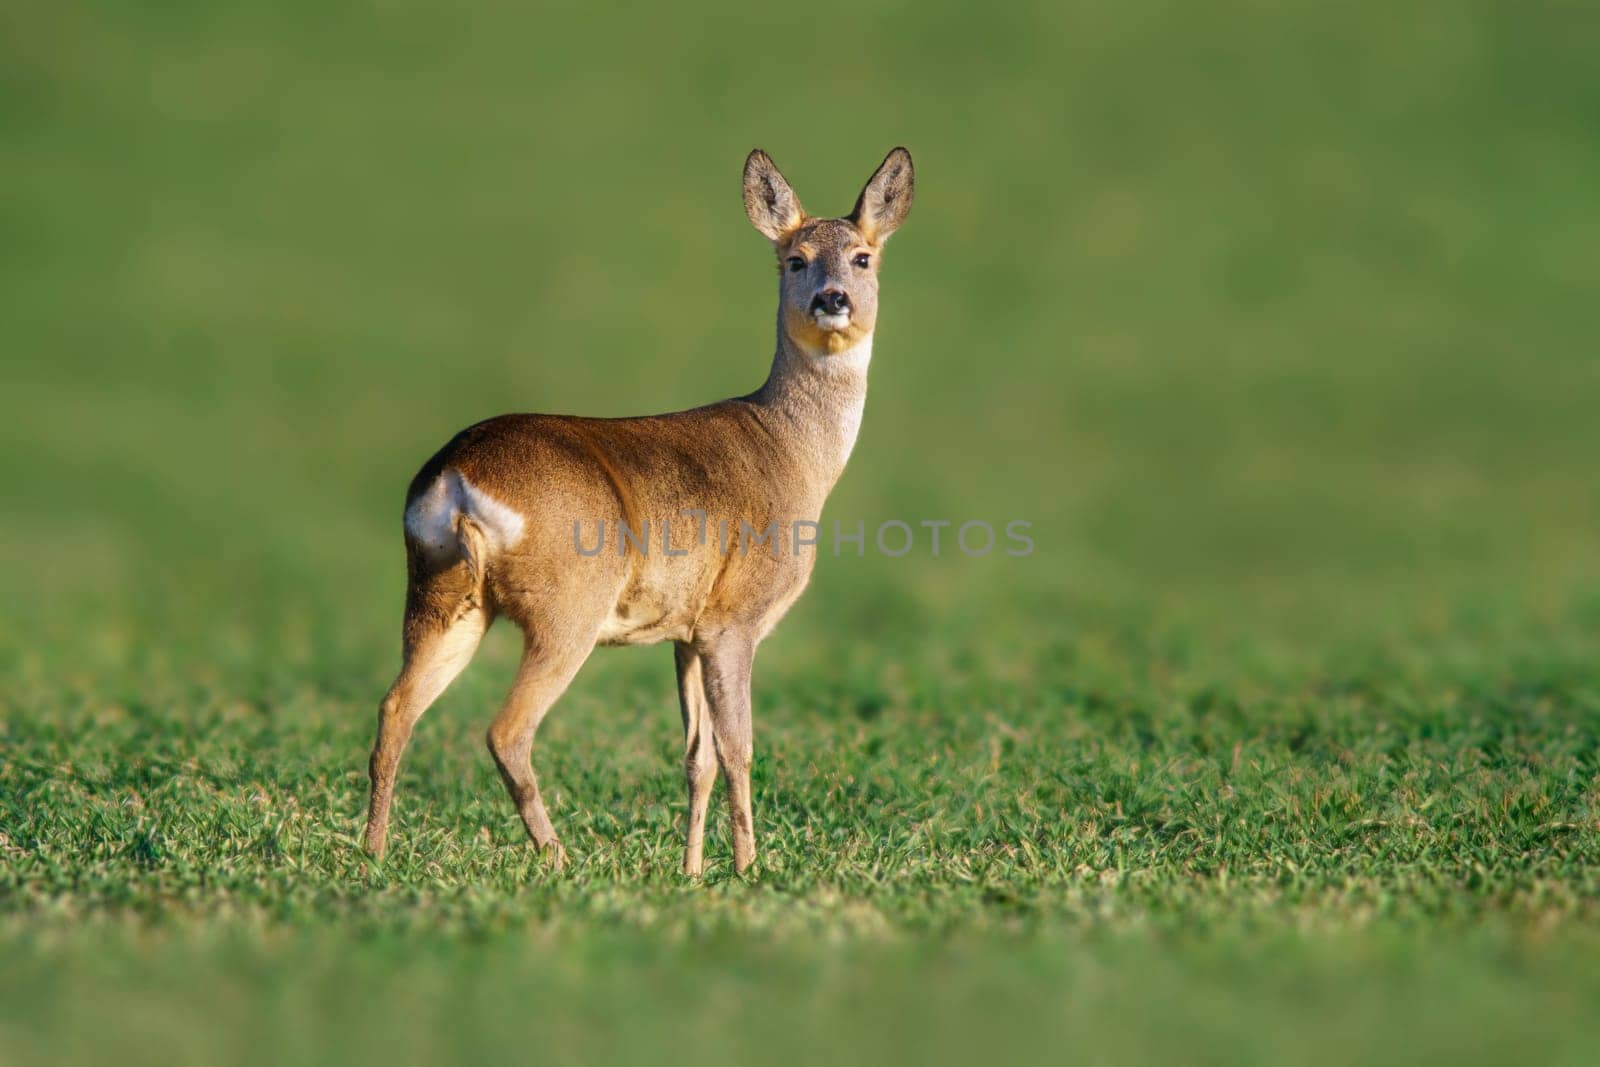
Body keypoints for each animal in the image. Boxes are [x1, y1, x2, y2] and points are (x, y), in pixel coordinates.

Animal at [363, 143, 915, 876]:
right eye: (794, 259)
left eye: (862, 257)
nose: (833, 299)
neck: (793, 453)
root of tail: (453, 479)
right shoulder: (734, 618)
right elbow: (739, 749)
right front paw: (749, 868)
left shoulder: (686, 628)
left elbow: (697, 756)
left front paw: (692, 871)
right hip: (566, 606)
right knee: (506, 729)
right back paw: (559, 858)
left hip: (442, 596)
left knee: (396, 707)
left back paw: (372, 853)